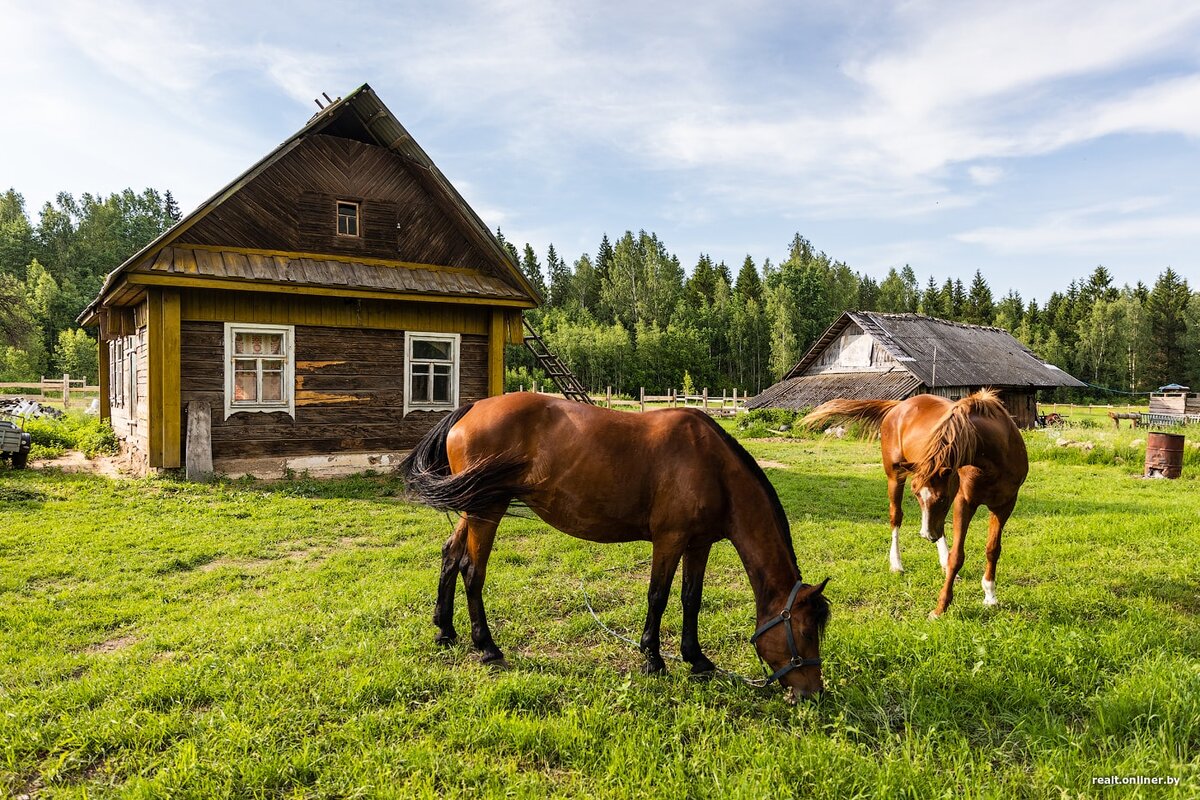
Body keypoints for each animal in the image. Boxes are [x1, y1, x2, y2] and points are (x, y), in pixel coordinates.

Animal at [398, 393, 830, 700]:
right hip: (487, 509)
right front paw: (653, 659)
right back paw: (487, 647)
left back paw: (445, 630)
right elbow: (658, 596)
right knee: (473, 570)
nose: (812, 693)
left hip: (473, 507)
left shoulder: (699, 544)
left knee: (450, 555)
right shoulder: (669, 540)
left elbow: (691, 598)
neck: (711, 464)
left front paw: (696, 658)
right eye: (805, 632)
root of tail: (471, 409)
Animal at [801, 391, 1027, 618]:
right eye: (917, 494)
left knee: (939, 528)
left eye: (943, 497)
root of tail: (898, 406)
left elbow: (992, 549)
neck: (994, 456)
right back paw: (897, 564)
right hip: (895, 477)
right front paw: (940, 608)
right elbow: (957, 556)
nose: (926, 536)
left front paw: (990, 596)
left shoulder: (1005, 505)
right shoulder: (964, 502)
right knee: (897, 517)